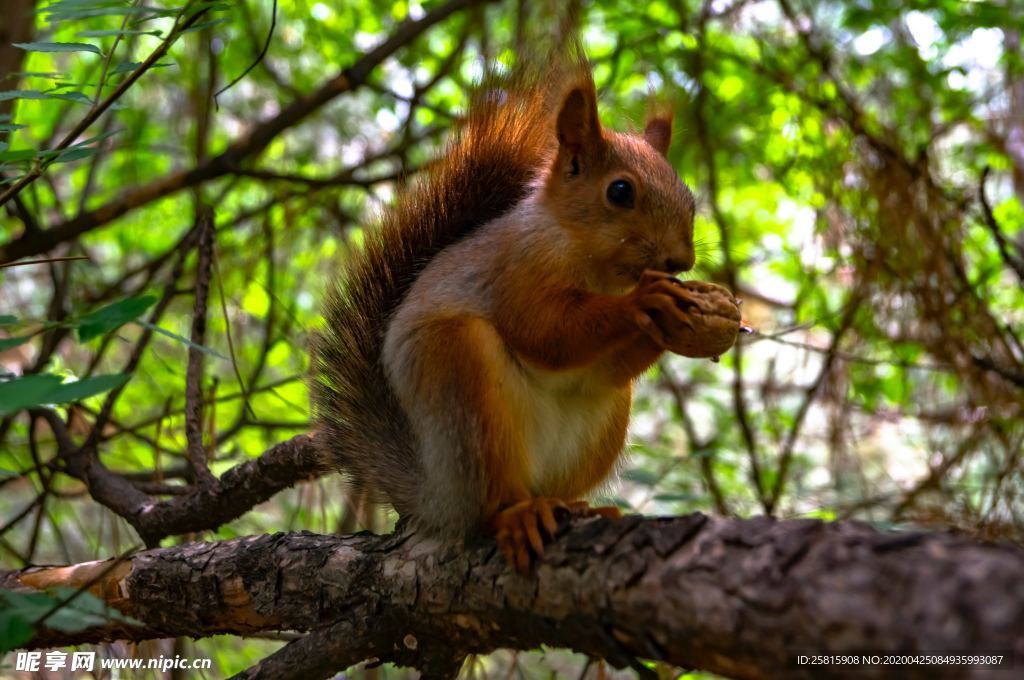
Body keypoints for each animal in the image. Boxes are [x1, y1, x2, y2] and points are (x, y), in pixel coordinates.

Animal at [309, 50, 737, 569]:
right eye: (619, 192)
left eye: (689, 197)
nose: (681, 261)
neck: (598, 269)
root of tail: (435, 500)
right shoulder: (514, 271)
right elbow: (545, 332)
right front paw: (645, 301)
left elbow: (603, 365)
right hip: (461, 384)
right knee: (492, 502)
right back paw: (518, 515)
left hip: (599, 427)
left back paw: (575, 506)